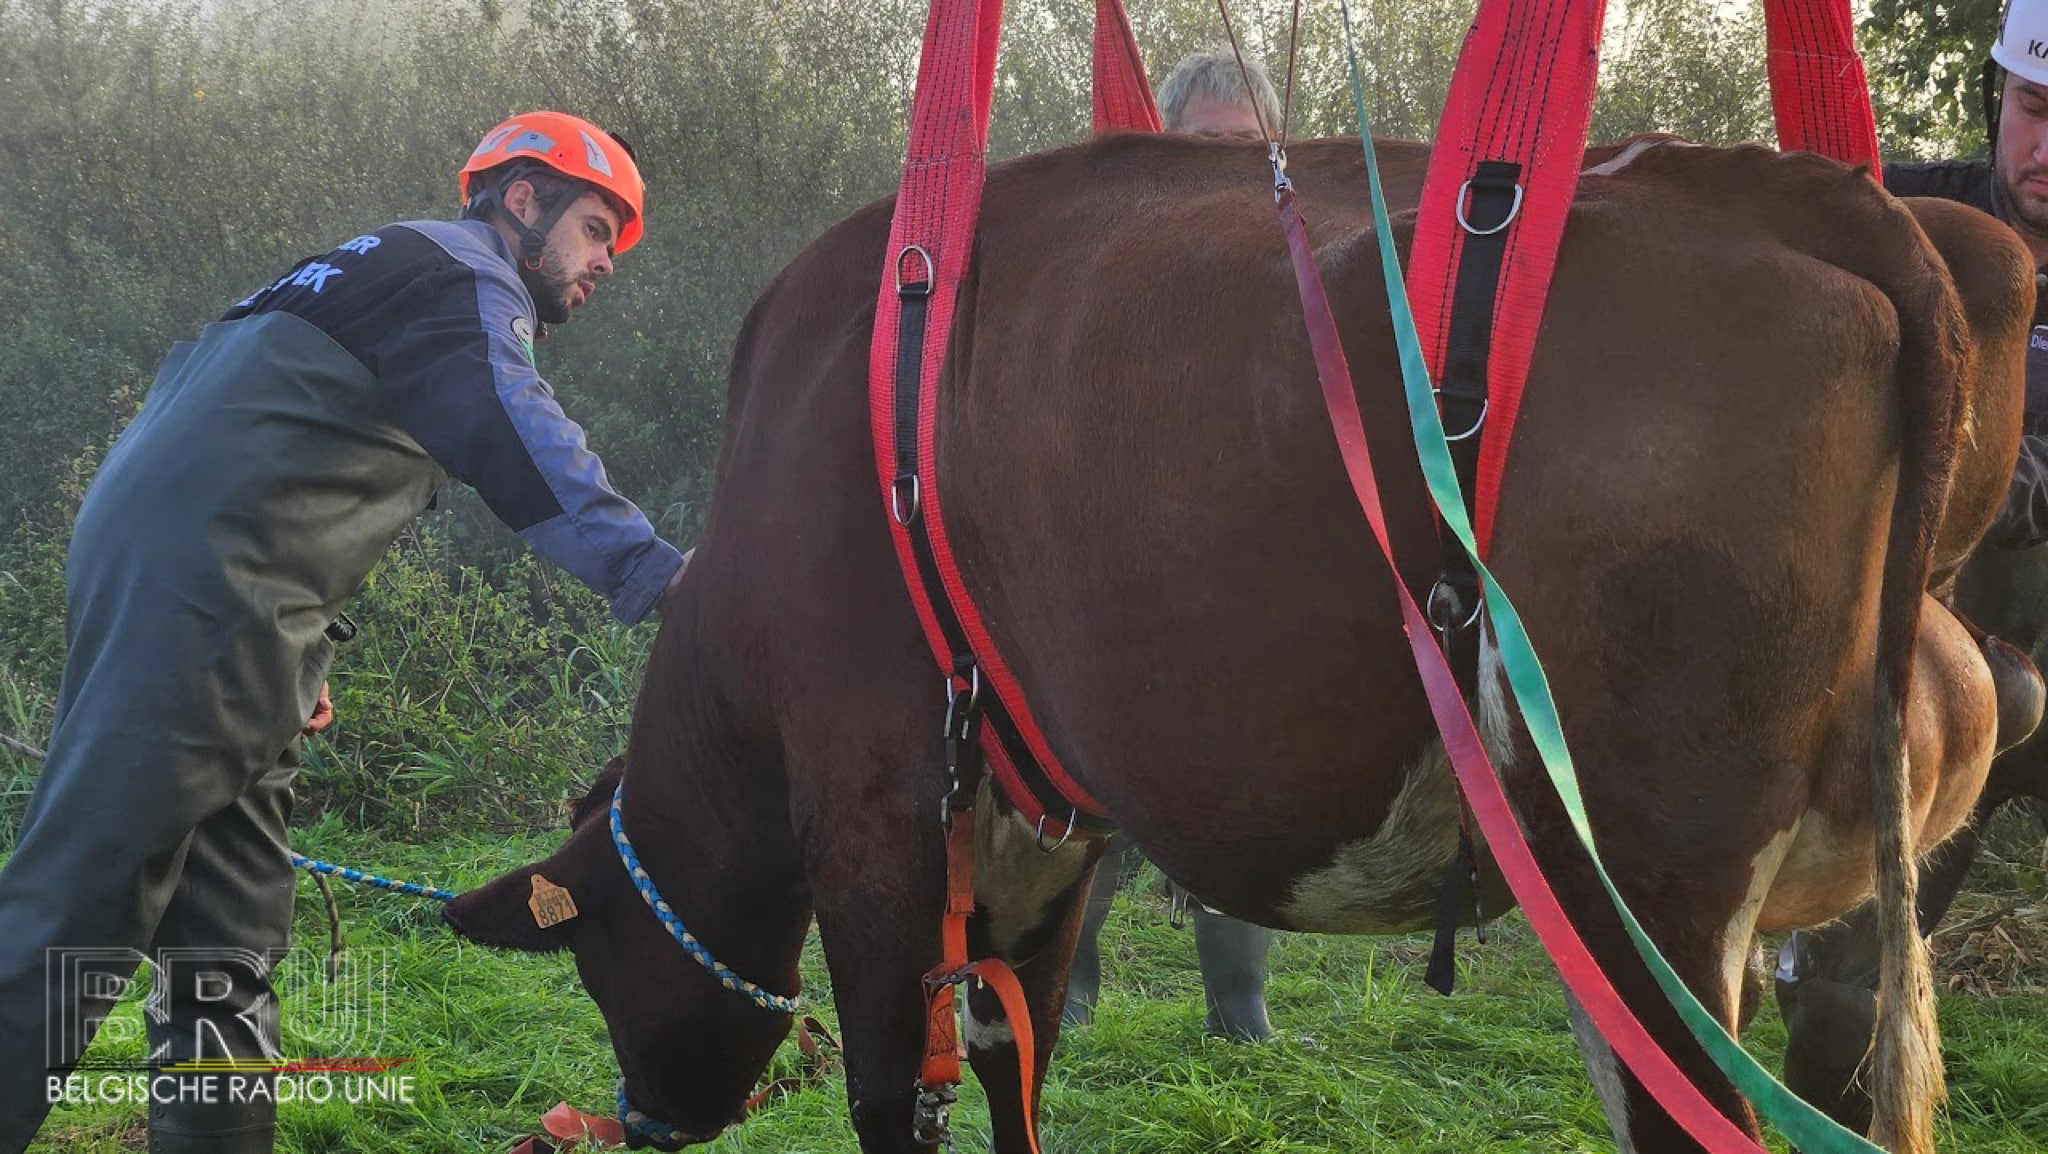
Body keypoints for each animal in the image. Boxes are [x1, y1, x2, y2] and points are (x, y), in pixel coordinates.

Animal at [440, 137, 2023, 1154]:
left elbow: (897, 1093)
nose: (643, 1119)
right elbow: (1016, 1060)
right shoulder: (1039, 823)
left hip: (1642, 879)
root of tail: (1812, 196)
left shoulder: (873, 807)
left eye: (593, 962)